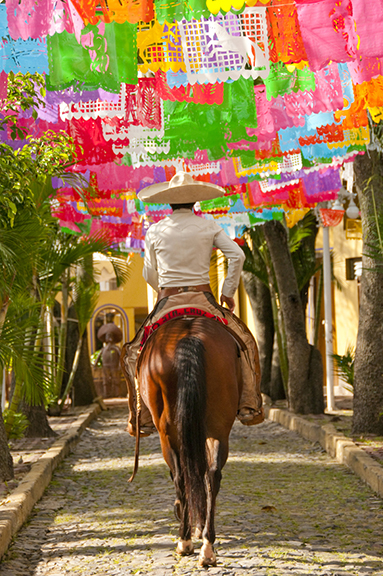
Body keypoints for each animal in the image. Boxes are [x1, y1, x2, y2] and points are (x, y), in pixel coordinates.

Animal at [130, 316, 242, 568]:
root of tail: (190, 334)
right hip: (219, 425)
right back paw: (207, 547)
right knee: (212, 475)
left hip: (167, 432)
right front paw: (199, 527)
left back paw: (185, 540)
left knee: (181, 477)